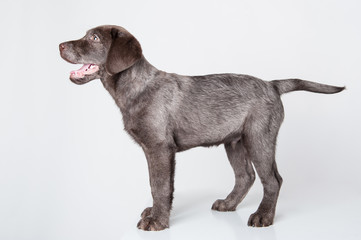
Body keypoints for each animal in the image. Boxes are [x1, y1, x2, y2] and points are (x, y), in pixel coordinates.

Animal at [58, 24, 344, 231]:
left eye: (94, 37)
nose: (59, 45)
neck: (134, 87)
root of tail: (272, 85)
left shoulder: (159, 148)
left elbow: (160, 186)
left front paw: (157, 221)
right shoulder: (153, 150)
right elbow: (155, 184)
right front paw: (155, 213)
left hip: (259, 137)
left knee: (272, 179)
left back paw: (263, 217)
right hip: (234, 141)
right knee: (246, 176)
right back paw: (229, 204)